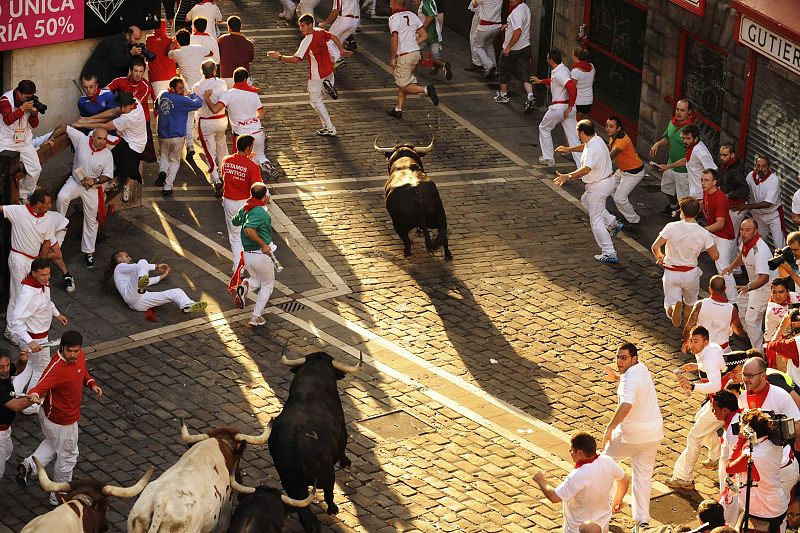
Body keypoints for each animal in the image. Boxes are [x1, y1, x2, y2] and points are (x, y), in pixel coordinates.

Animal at [272, 350, 366, 532]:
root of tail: (296, 447)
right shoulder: (342, 429)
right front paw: (346, 462)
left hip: (290, 482)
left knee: (303, 510)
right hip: (326, 475)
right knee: (328, 495)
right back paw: (331, 511)